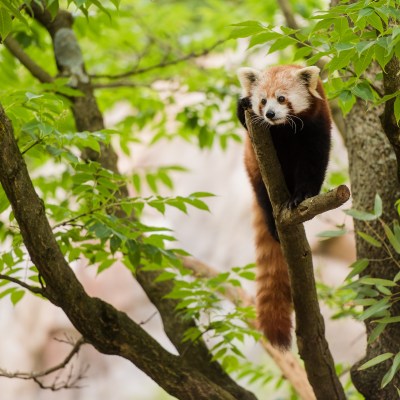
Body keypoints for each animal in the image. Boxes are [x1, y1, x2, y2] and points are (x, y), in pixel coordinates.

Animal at [236, 65, 332, 350]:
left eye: (281, 98)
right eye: (262, 101)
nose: (269, 114)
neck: (285, 130)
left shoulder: (317, 127)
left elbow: (312, 164)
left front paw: (302, 196)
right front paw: (242, 106)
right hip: (254, 172)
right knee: (263, 198)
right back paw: (272, 224)